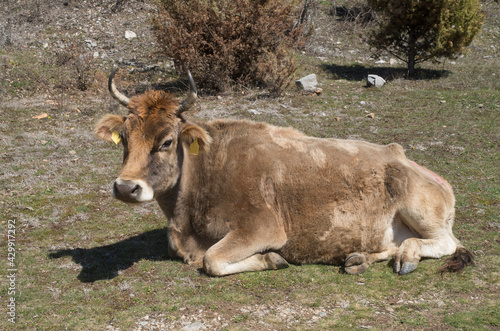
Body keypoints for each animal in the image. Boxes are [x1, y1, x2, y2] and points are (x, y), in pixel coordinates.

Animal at [96, 68, 472, 278]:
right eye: (124, 138)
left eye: (167, 141)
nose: (126, 187)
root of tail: (404, 157)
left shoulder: (261, 228)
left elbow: (212, 261)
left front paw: (272, 260)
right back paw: (358, 258)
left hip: (420, 208)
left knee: (446, 242)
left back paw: (407, 256)